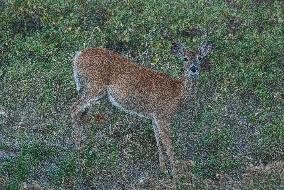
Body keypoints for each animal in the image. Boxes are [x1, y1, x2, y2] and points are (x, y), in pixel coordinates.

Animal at [70, 41, 213, 180]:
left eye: (200, 58)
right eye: (185, 58)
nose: (193, 69)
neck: (177, 92)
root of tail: (78, 56)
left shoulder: (154, 117)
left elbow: (158, 141)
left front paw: (163, 169)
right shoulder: (163, 115)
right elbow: (168, 144)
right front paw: (176, 174)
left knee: (82, 113)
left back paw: (86, 149)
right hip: (94, 86)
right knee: (74, 108)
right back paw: (79, 152)